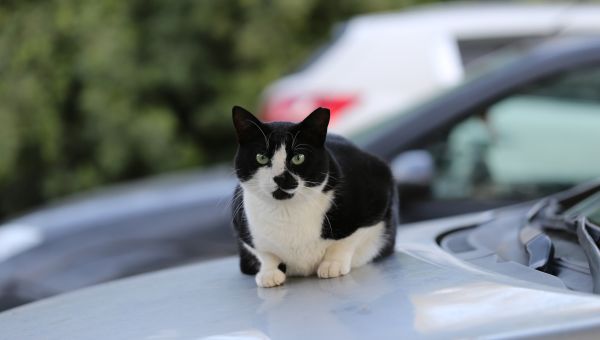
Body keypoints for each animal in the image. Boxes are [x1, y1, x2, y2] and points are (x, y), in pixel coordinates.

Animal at [232, 106, 396, 286]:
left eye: (298, 158)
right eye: (261, 158)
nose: (280, 177)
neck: (287, 213)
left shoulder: (378, 192)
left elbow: (348, 239)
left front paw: (333, 264)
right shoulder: (242, 225)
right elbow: (265, 253)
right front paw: (269, 272)